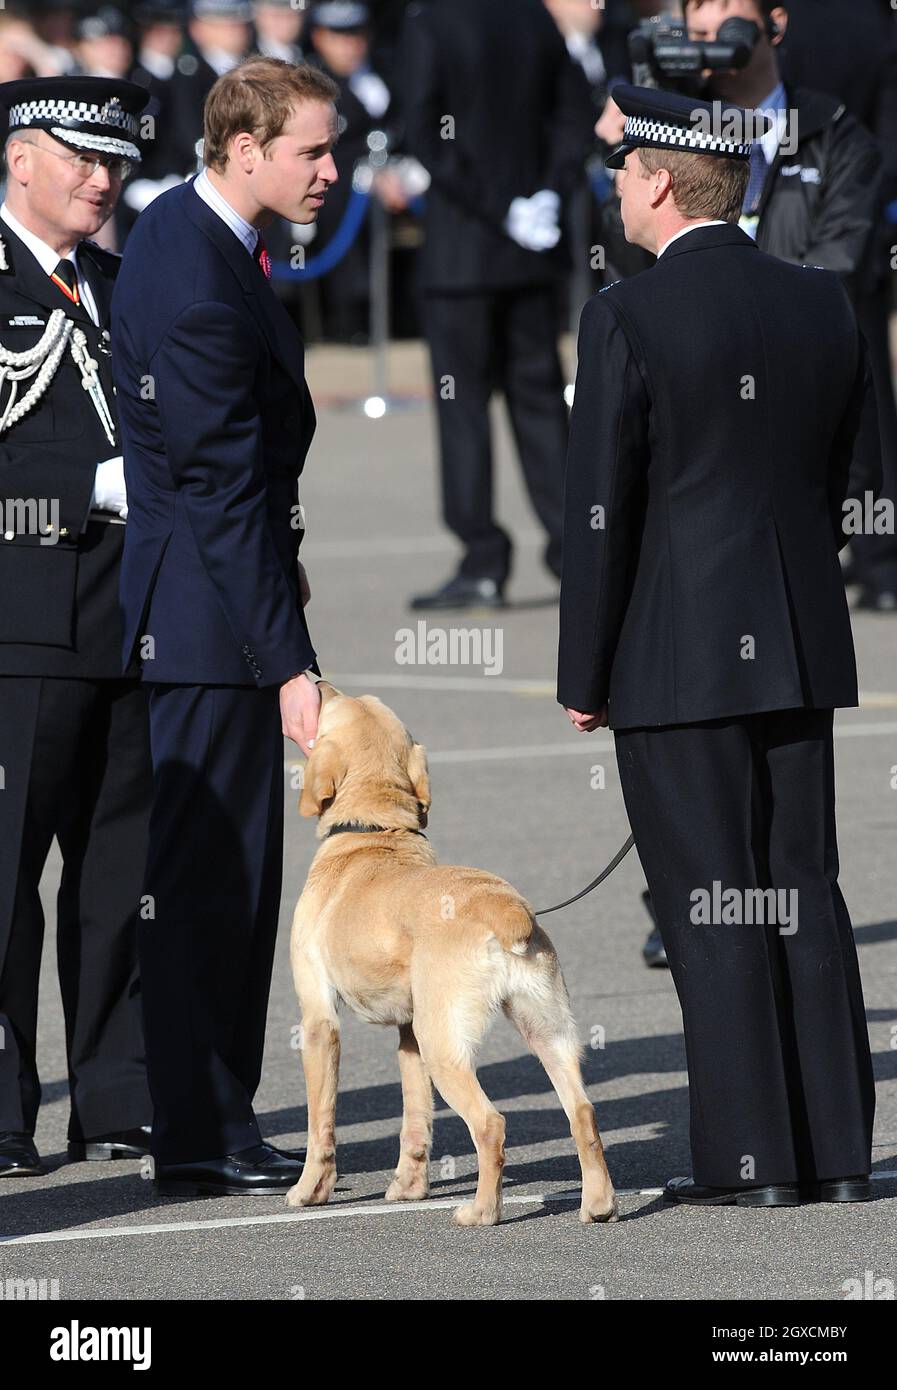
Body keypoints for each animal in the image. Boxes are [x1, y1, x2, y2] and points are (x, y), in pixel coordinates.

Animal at [286, 683, 614, 1228]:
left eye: (332, 706)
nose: (318, 684)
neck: (374, 833)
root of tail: (503, 907)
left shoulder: (318, 1021)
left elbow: (321, 1122)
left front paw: (310, 1190)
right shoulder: (408, 1034)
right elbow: (415, 1119)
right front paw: (408, 1188)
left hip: (447, 1046)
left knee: (491, 1124)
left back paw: (482, 1211)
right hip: (542, 1031)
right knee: (583, 1112)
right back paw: (598, 1204)